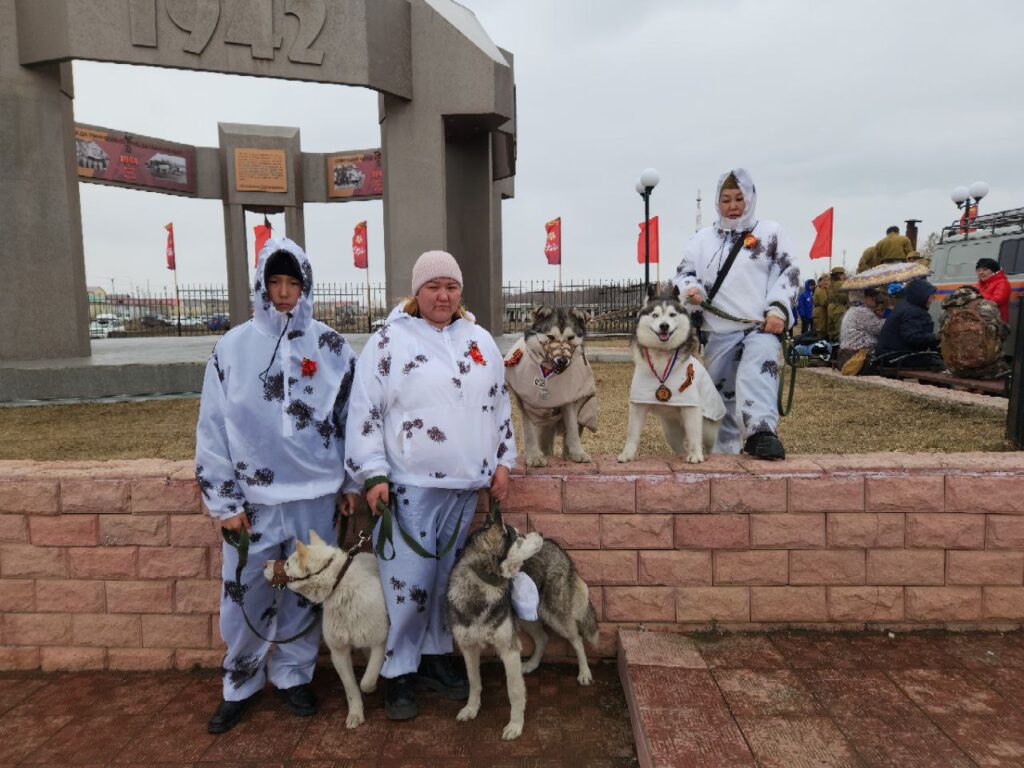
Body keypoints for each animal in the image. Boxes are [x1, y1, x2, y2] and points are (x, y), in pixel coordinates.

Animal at [263, 530, 389, 729]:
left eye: (288, 563)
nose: (265, 563)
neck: (340, 587)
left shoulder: (379, 641)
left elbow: (366, 682)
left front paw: (370, 685)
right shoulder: (338, 653)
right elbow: (351, 688)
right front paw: (355, 714)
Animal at [445, 515, 544, 740]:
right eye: (519, 537)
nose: (541, 533)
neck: (485, 580)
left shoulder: (509, 649)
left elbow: (514, 690)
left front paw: (515, 725)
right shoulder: (468, 647)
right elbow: (474, 681)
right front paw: (471, 708)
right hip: (526, 618)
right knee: (543, 637)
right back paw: (531, 664)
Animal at [504, 306, 597, 467]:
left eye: (570, 338)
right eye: (551, 337)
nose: (562, 360)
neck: (549, 370)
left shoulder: (569, 400)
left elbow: (572, 429)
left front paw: (578, 453)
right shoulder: (526, 404)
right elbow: (529, 432)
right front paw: (534, 456)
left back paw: (568, 455)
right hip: (544, 425)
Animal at [518, 538, 599, 686]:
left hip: (555, 617)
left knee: (578, 640)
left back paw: (584, 673)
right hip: (525, 614)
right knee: (543, 639)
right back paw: (532, 664)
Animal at [618, 284, 725, 464]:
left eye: (672, 315)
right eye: (655, 315)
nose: (664, 326)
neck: (662, 356)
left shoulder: (691, 408)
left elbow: (694, 436)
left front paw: (696, 455)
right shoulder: (638, 404)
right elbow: (632, 433)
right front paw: (627, 454)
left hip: (708, 428)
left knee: (709, 444)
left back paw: (708, 454)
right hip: (670, 432)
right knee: (679, 447)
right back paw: (681, 455)